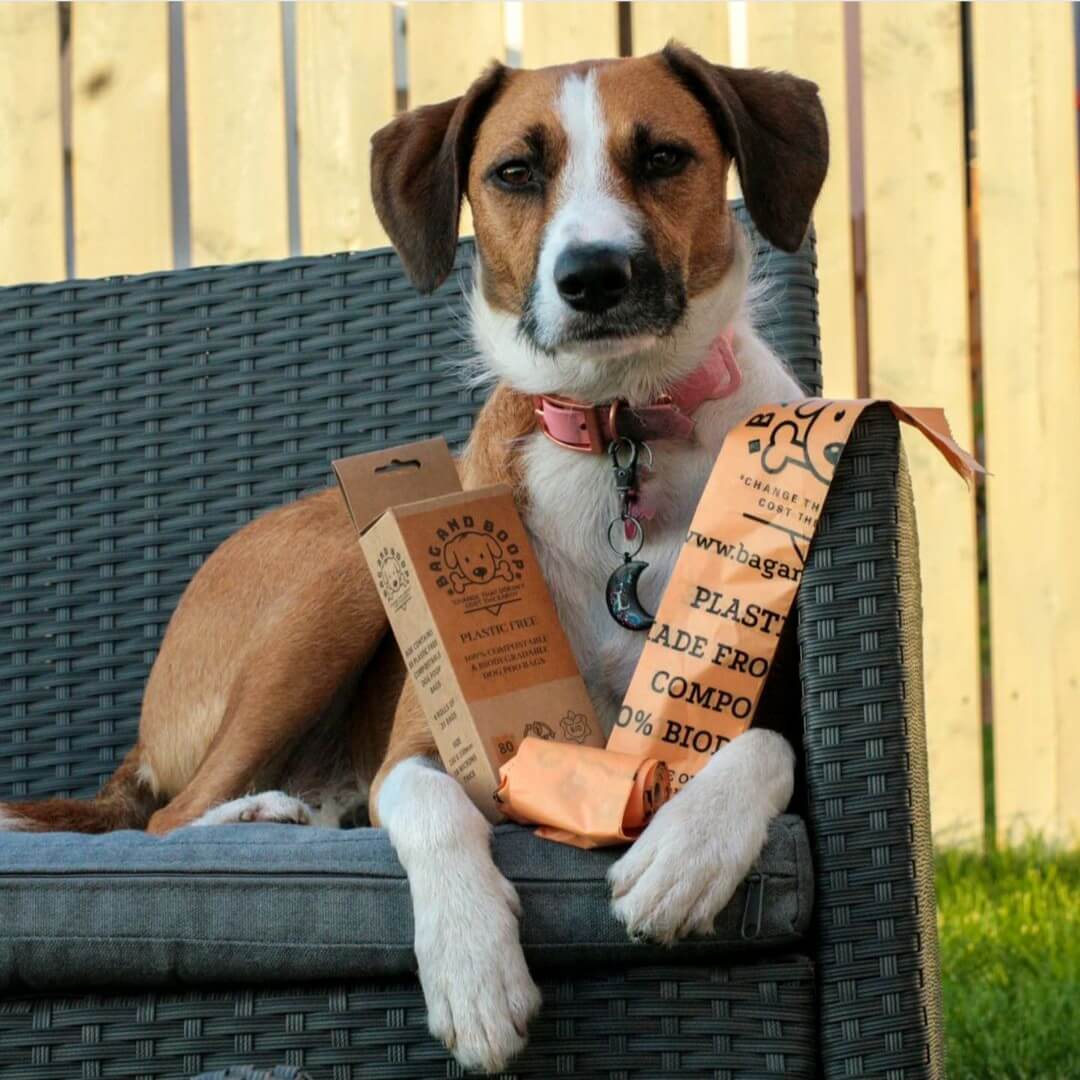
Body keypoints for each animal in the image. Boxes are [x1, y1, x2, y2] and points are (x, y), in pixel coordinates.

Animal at [0, 44, 825, 1071]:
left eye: (665, 156)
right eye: (515, 171)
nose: (595, 275)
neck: (619, 433)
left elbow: (764, 742)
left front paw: (685, 853)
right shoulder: (425, 745)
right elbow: (435, 809)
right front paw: (472, 970)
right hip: (346, 580)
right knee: (166, 816)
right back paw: (261, 815)